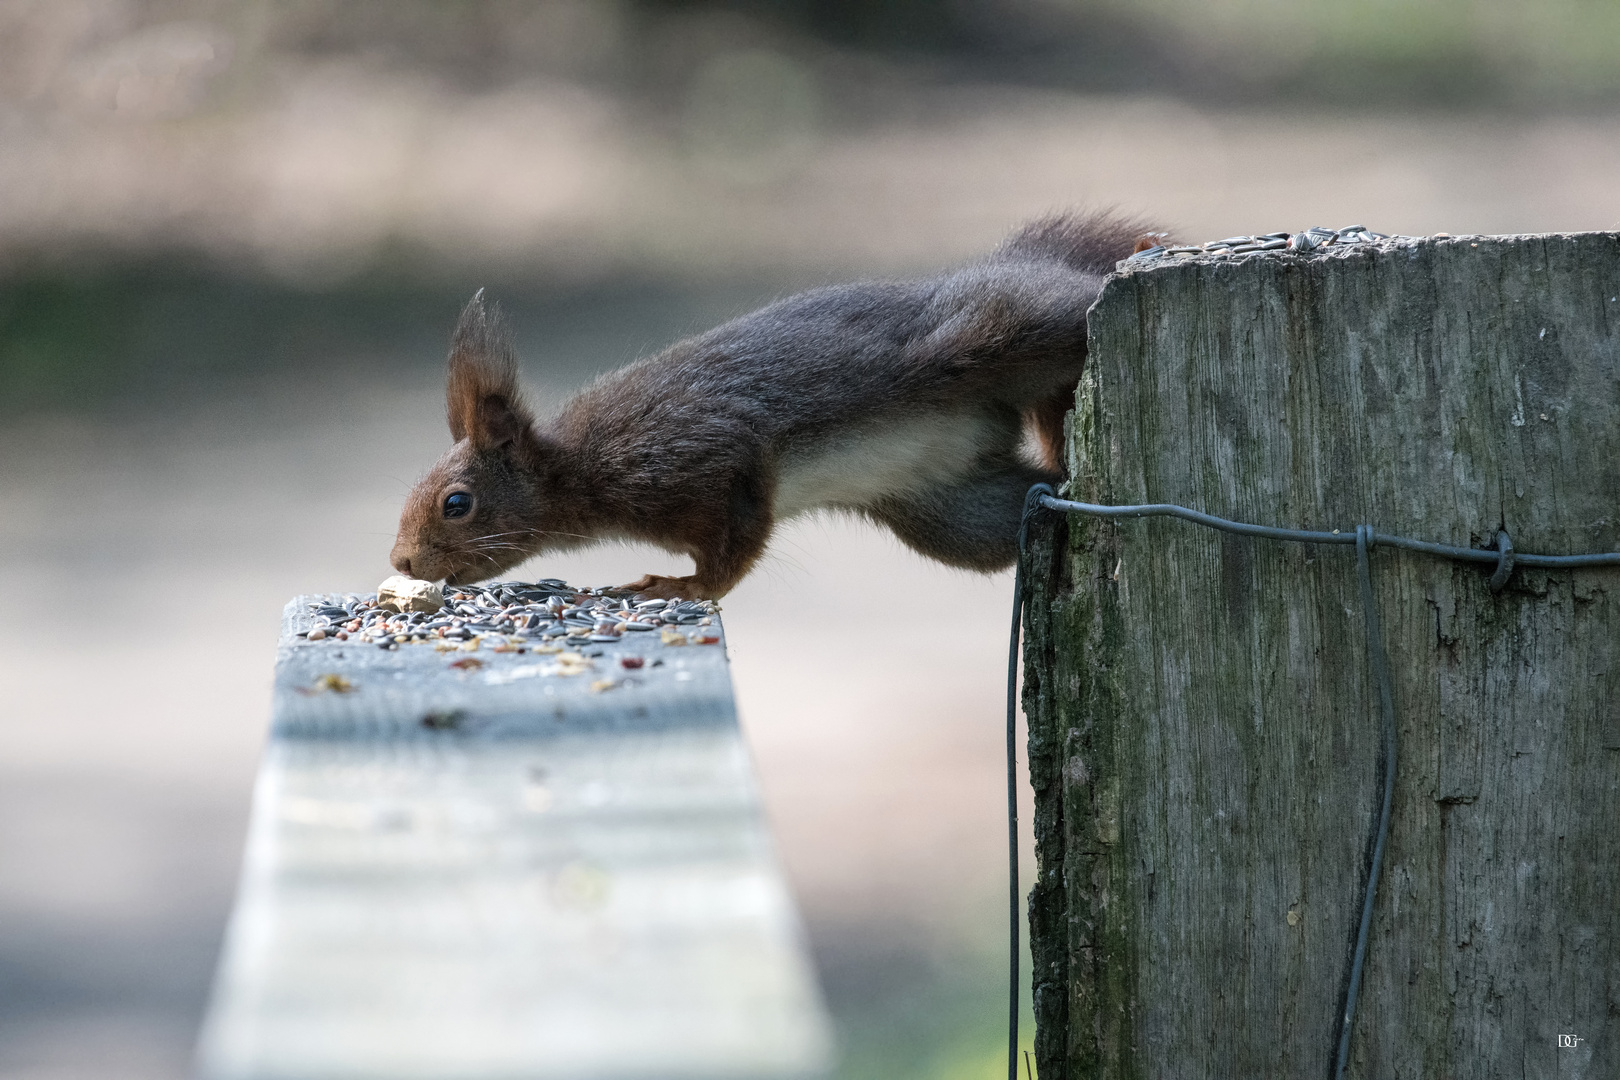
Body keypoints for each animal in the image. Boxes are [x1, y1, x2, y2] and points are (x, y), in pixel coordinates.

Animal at [388, 210, 1153, 599]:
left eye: (457, 504)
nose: (400, 563)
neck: (577, 467)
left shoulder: (704, 458)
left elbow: (734, 547)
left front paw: (679, 588)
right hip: (956, 512)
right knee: (1028, 498)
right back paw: (1061, 498)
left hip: (1007, 327)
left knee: (1066, 308)